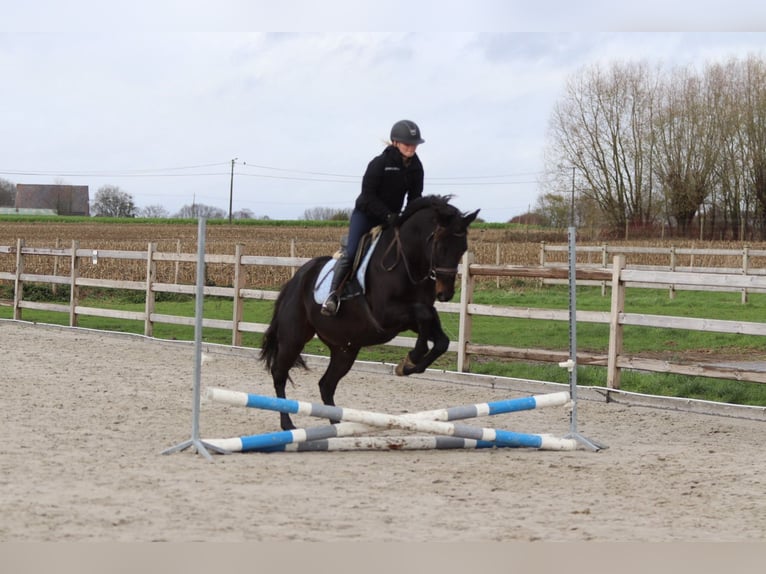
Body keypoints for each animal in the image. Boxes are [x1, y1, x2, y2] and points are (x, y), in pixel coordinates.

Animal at [259, 194, 480, 430]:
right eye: (440, 246)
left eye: (462, 248)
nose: (445, 294)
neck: (407, 262)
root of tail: (296, 279)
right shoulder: (386, 315)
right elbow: (425, 316)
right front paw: (412, 357)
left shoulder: (410, 319)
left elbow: (439, 336)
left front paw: (407, 366)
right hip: (294, 338)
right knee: (279, 375)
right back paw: (288, 424)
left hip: (345, 348)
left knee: (326, 384)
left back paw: (336, 425)